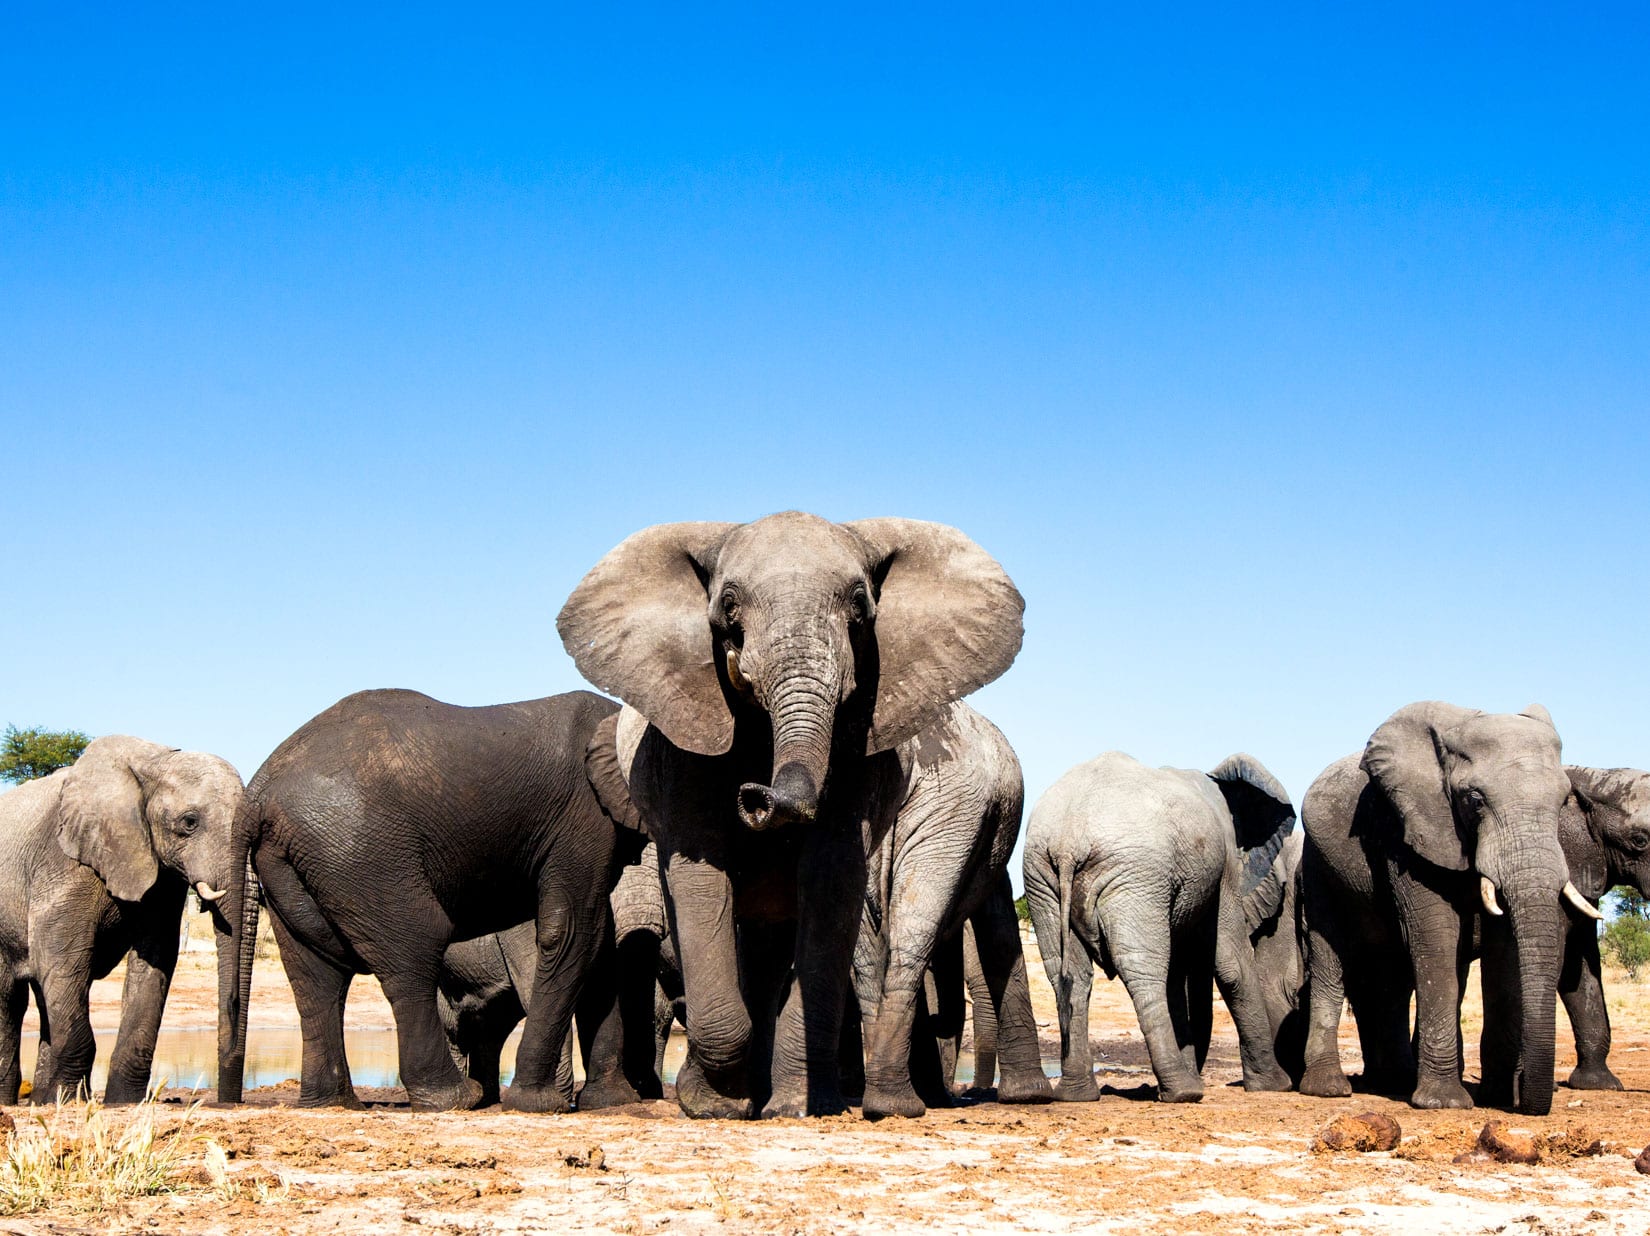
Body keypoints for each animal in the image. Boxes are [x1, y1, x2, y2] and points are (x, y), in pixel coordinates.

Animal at [0, 736, 243, 1104]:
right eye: (189, 822)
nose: (228, 1101)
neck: (152, 762)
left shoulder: (160, 875)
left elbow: (155, 959)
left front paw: (122, 1102)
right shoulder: (63, 863)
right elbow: (61, 958)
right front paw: (70, 1100)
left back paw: (43, 1099)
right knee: (11, 1000)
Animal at [217, 689, 644, 1112]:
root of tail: (256, 793)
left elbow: (600, 944)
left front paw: (613, 1101)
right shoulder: (584, 815)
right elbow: (572, 930)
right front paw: (538, 1104)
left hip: (293, 859)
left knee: (316, 974)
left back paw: (332, 1103)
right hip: (360, 850)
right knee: (414, 950)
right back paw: (455, 1098)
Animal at [558, 512, 1024, 1118]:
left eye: (860, 606)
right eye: (728, 605)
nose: (755, 796)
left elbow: (830, 878)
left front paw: (793, 1106)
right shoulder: (680, 740)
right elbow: (701, 877)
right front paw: (714, 1105)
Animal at [1022, 751, 1297, 1103]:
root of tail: (1069, 840)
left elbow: (1178, 974)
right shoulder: (1225, 868)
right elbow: (1231, 965)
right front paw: (1276, 1085)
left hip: (1043, 878)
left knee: (1068, 973)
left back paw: (1077, 1094)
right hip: (1134, 875)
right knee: (1143, 968)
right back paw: (1183, 1092)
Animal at [1298, 701, 1598, 1115]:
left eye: (1564, 801)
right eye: (1475, 800)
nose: (1527, 1102)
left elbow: (1503, 951)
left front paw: (1499, 1097)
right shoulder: (1407, 832)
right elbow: (1436, 939)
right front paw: (1444, 1103)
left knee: (1392, 977)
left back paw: (1396, 1081)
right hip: (1317, 864)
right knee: (1331, 958)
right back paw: (1329, 1089)